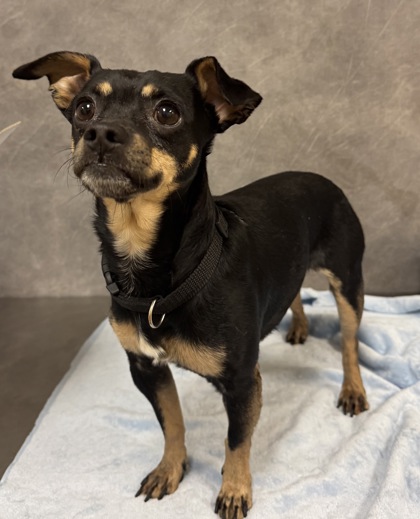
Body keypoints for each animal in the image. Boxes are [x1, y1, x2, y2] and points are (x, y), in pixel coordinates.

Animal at [13, 52, 369, 519]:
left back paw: (352, 389)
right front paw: (170, 468)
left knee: (348, 342)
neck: (154, 273)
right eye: (84, 108)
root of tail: (323, 179)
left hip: (348, 280)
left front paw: (234, 490)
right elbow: (172, 422)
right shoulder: (145, 367)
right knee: (294, 295)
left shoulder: (241, 381)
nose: (100, 133)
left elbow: (236, 440)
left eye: (167, 112)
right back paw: (297, 327)